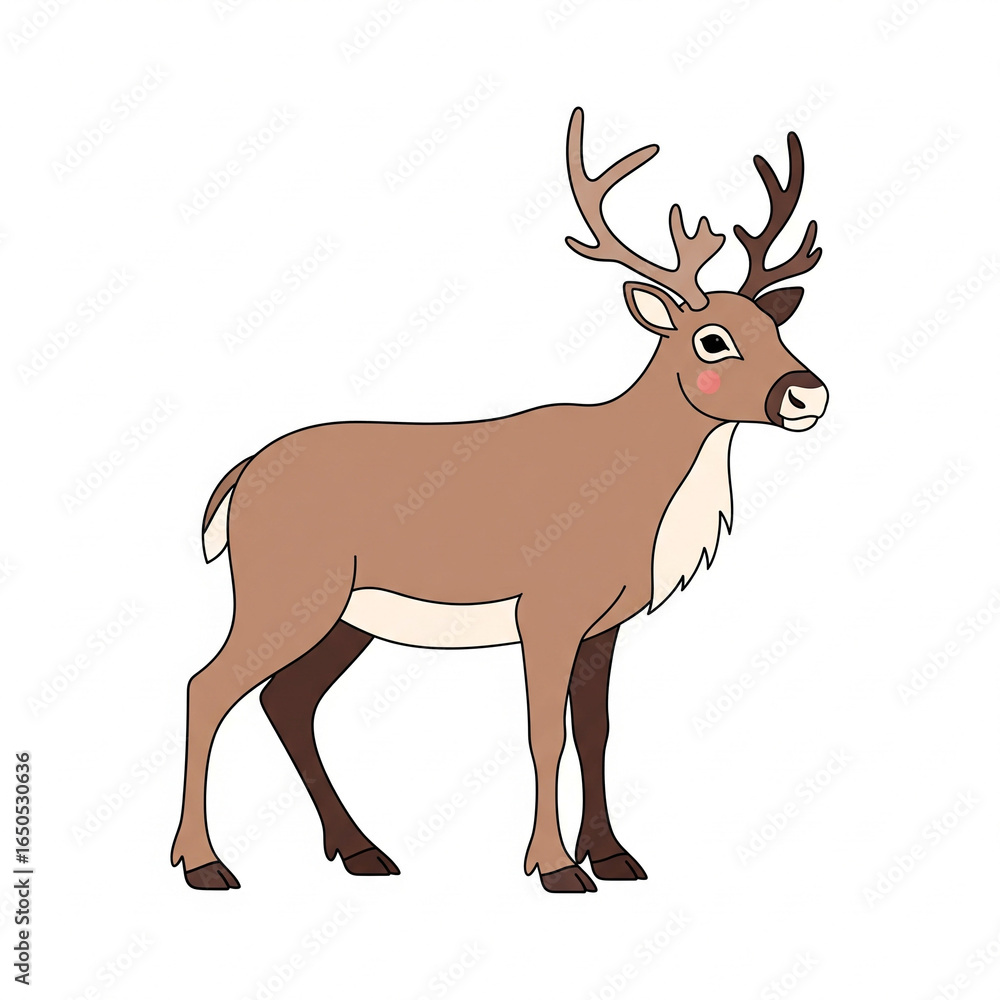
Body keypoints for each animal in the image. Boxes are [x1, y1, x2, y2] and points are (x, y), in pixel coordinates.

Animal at [171, 107, 828, 893]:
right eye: (712, 340)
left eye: (776, 326)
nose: (808, 394)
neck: (641, 499)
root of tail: (237, 477)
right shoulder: (546, 606)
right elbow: (545, 732)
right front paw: (555, 867)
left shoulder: (604, 620)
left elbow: (595, 731)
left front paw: (614, 856)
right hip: (285, 589)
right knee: (207, 686)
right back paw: (204, 863)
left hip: (344, 614)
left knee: (286, 700)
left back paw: (361, 852)